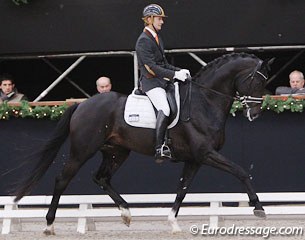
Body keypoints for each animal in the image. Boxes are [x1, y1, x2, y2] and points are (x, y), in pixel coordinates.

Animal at [13, 52, 270, 232]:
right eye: (256, 82)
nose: (255, 114)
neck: (204, 101)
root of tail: (82, 104)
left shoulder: (195, 159)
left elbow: (182, 189)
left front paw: (173, 223)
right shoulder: (205, 153)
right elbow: (241, 171)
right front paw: (258, 207)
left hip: (116, 152)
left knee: (101, 178)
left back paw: (126, 213)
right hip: (82, 150)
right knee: (62, 179)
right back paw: (49, 225)